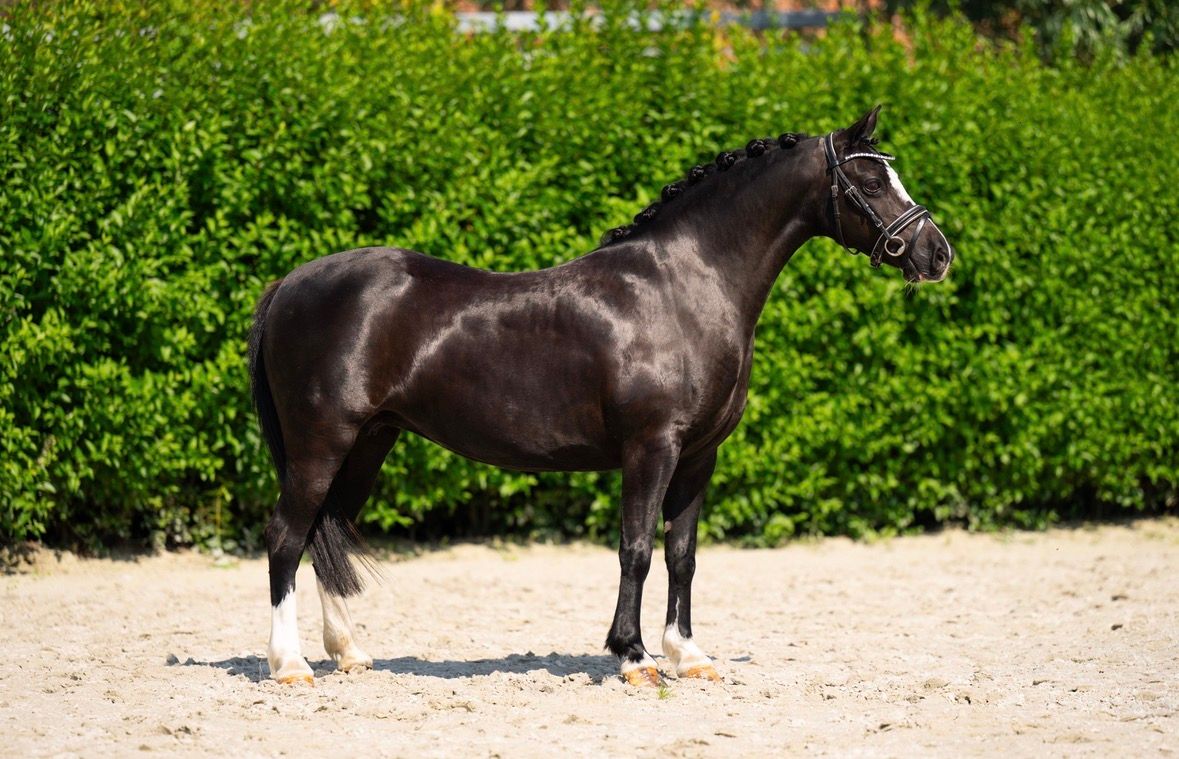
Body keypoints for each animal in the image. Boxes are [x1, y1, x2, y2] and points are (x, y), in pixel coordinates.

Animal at [247, 106, 953, 687]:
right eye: (870, 183)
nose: (937, 253)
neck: (685, 286)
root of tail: (290, 283)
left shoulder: (699, 456)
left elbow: (682, 554)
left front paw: (688, 655)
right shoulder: (651, 448)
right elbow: (636, 548)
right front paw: (634, 657)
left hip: (370, 442)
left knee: (327, 530)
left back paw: (348, 654)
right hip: (322, 443)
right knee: (287, 534)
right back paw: (290, 666)